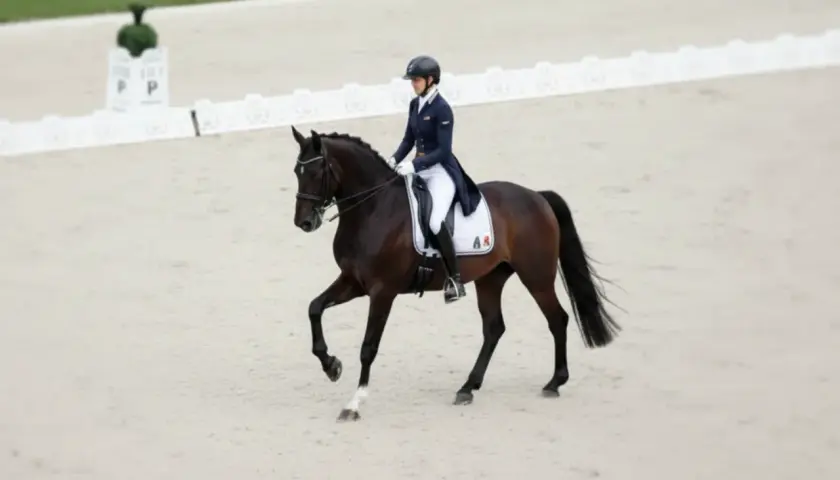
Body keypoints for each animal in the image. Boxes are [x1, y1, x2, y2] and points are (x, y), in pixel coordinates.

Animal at [288, 125, 621, 421]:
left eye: (317, 172)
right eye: (296, 172)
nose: (303, 223)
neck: (373, 209)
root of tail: (537, 197)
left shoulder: (382, 291)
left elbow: (368, 347)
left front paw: (354, 403)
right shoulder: (354, 281)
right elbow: (314, 308)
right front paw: (331, 365)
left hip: (536, 278)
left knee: (557, 319)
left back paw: (554, 382)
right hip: (491, 279)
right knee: (494, 328)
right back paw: (467, 388)